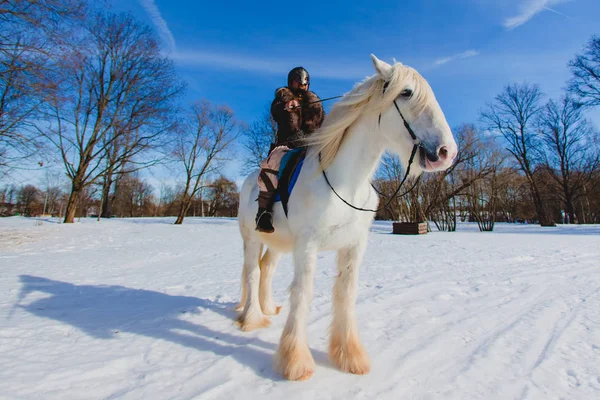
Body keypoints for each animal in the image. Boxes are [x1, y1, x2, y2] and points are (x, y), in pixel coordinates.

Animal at [236, 54, 460, 380]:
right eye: (406, 93)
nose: (447, 152)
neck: (344, 182)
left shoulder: (353, 246)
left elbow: (345, 294)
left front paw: (350, 356)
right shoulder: (307, 246)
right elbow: (302, 293)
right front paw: (296, 362)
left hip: (279, 243)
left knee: (267, 269)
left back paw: (268, 308)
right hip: (251, 239)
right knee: (252, 272)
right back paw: (252, 318)